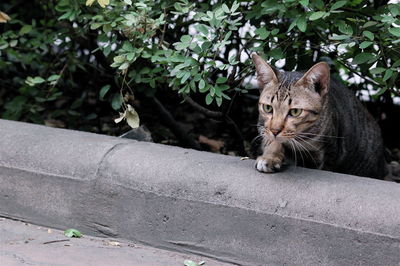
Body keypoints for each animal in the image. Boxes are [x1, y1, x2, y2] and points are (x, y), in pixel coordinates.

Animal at [253, 53, 388, 179]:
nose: (275, 131)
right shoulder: (263, 127)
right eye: (268, 108)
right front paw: (270, 156)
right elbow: (271, 139)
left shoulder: (328, 154)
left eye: (295, 112)